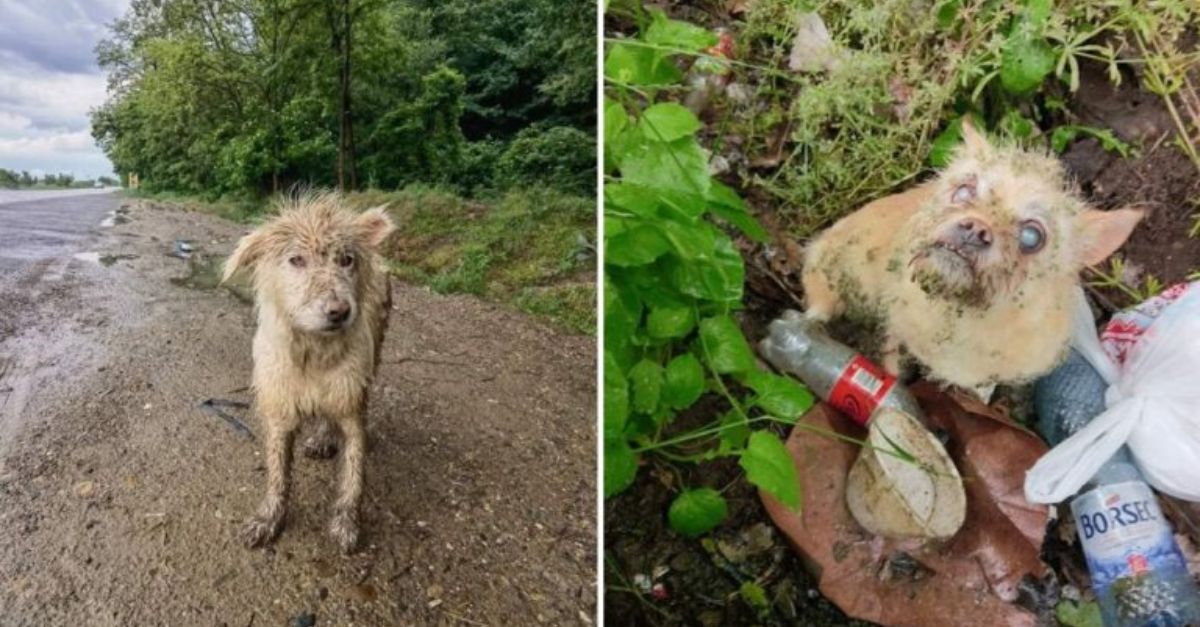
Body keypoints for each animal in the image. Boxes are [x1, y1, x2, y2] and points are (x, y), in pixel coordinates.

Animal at [220, 190, 393, 552]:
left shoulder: (351, 401)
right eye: (296, 260)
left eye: (346, 259)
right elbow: (277, 474)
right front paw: (268, 519)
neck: (314, 353)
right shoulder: (280, 407)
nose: (339, 311)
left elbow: (354, 473)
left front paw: (346, 522)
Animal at [801, 118, 1137, 389]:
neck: (965, 318)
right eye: (964, 191)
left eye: (1032, 237)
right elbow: (892, 358)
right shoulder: (896, 329)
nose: (976, 229)